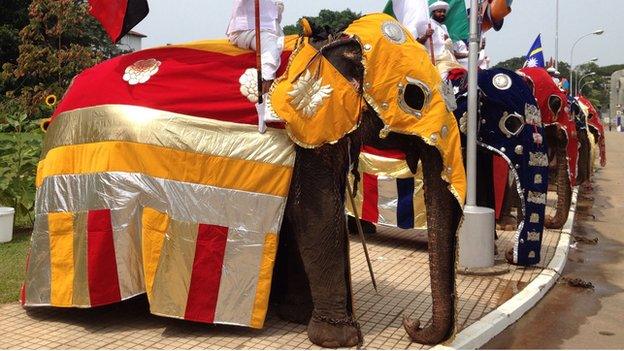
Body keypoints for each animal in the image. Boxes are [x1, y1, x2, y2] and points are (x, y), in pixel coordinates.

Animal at [22, 14, 466, 350]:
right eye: (414, 96)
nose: (412, 324)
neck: (330, 42)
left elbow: (302, 217)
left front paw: (296, 315)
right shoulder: (307, 128)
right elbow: (316, 214)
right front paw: (339, 338)